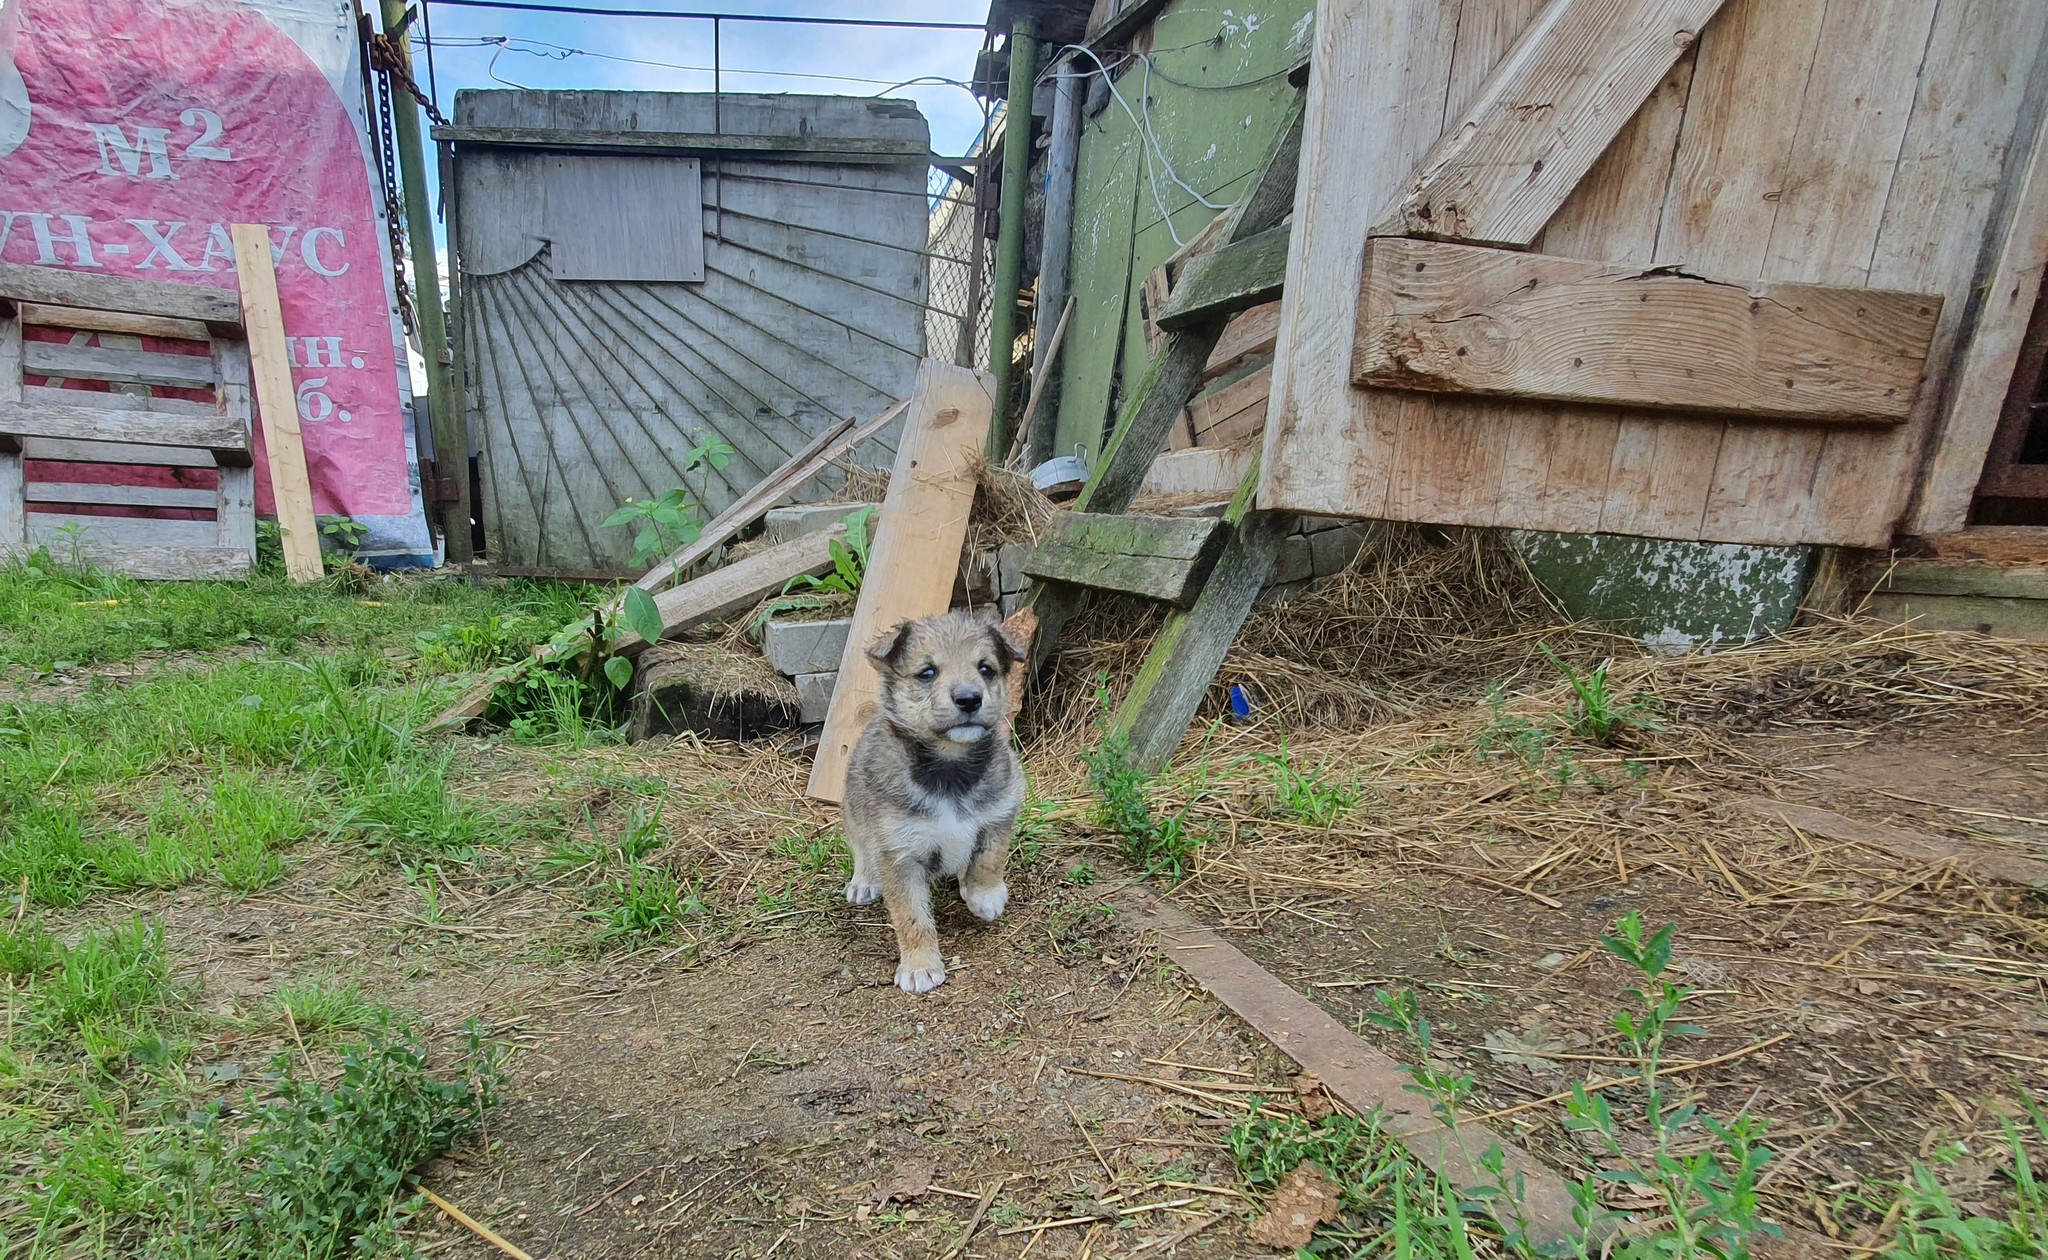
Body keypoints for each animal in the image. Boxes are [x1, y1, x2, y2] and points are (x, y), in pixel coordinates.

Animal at [839, 610, 1024, 995]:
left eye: (986, 669)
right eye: (927, 672)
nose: (969, 698)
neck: (949, 767)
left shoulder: (1001, 811)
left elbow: (989, 858)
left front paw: (985, 894)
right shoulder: (898, 854)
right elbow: (911, 916)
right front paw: (920, 965)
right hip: (854, 812)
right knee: (861, 849)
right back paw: (864, 881)